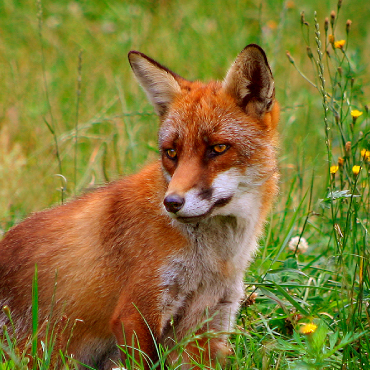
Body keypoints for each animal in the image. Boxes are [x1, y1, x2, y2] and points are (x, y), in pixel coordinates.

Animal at [0, 44, 278, 370]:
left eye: (218, 148)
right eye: (171, 152)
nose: (171, 203)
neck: (212, 260)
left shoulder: (207, 324)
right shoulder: (137, 310)